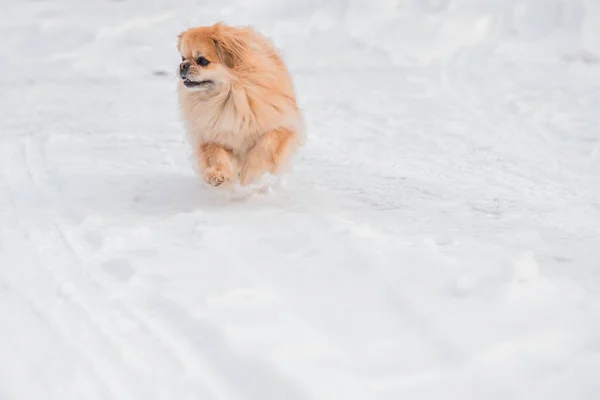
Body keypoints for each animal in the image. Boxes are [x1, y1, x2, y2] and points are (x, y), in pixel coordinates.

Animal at [176, 23, 302, 188]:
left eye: (202, 61)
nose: (182, 66)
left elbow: (264, 147)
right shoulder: (212, 137)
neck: (229, 96)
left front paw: (250, 174)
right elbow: (217, 156)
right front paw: (217, 174)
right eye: (183, 58)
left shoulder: (282, 127)